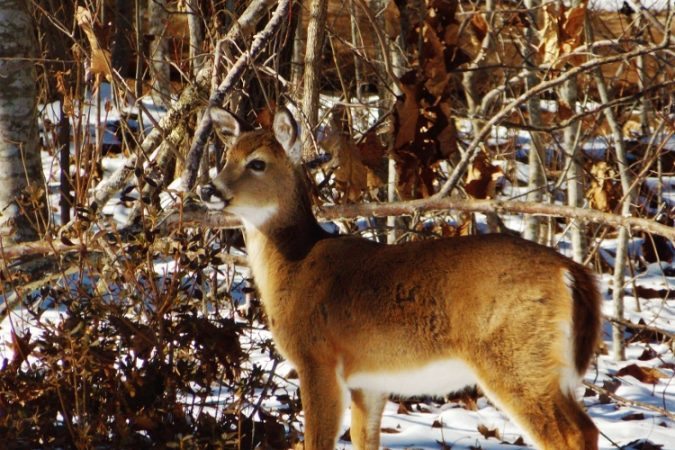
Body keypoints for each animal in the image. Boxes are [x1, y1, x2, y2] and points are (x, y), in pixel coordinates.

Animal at [200, 107, 602, 450]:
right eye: (226, 157)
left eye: (257, 163)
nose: (209, 189)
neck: (294, 265)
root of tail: (572, 272)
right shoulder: (369, 381)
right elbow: (364, 439)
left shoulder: (317, 357)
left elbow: (317, 441)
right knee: (588, 429)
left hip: (515, 358)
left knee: (570, 435)